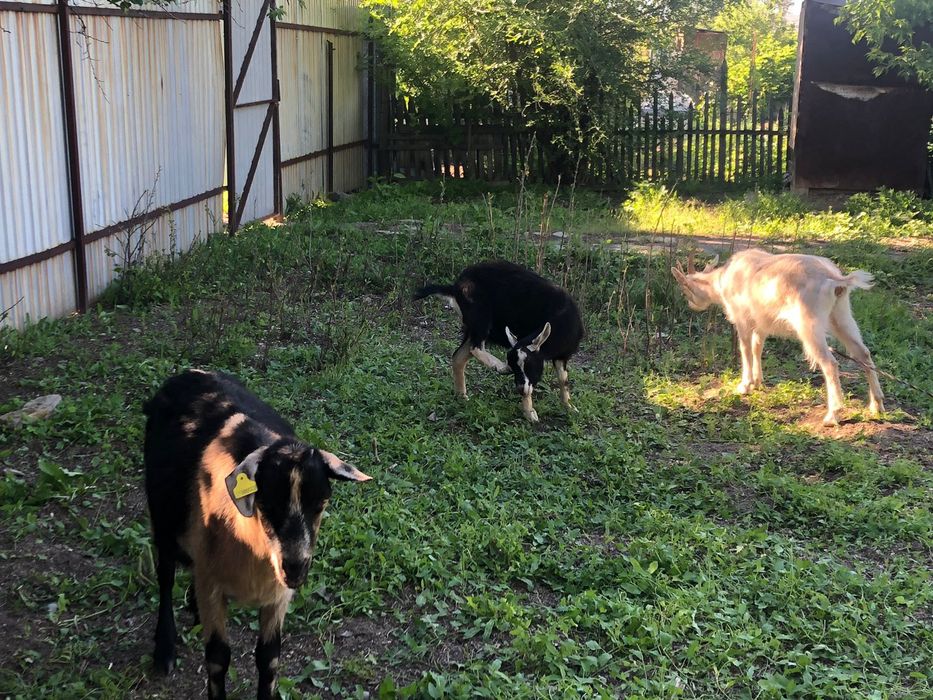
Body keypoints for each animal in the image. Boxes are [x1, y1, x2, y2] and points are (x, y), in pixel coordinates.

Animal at [143, 369, 371, 700]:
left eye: (321, 504)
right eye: (266, 502)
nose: (295, 569)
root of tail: (188, 373)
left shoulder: (277, 595)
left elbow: (269, 659)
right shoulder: (213, 586)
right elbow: (217, 658)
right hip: (161, 516)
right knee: (166, 576)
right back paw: (164, 649)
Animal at [415, 261, 584, 422]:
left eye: (529, 364)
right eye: (516, 366)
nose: (520, 389)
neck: (562, 316)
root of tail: (456, 286)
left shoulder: (562, 356)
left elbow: (563, 379)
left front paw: (569, 407)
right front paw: (530, 413)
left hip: (472, 326)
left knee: (458, 356)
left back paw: (461, 396)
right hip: (480, 319)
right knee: (475, 348)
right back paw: (500, 367)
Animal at [671, 248, 885, 426]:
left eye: (685, 290)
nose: (691, 305)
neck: (724, 279)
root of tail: (836, 280)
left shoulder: (742, 318)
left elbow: (745, 348)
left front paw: (744, 385)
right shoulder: (761, 323)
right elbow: (757, 347)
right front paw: (758, 382)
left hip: (809, 323)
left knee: (830, 363)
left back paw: (832, 415)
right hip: (841, 315)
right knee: (863, 353)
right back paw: (877, 405)